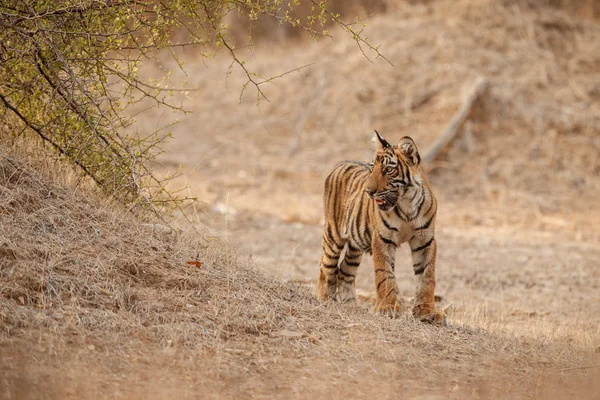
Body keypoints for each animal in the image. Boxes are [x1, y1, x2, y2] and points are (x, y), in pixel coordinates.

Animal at [316, 130, 442, 324]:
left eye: (388, 169)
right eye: (372, 168)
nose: (369, 192)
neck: (406, 204)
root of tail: (340, 162)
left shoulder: (425, 240)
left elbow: (427, 276)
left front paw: (426, 311)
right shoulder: (383, 239)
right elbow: (384, 273)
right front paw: (388, 308)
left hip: (355, 245)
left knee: (345, 269)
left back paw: (351, 305)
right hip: (333, 235)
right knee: (326, 265)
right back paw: (325, 300)